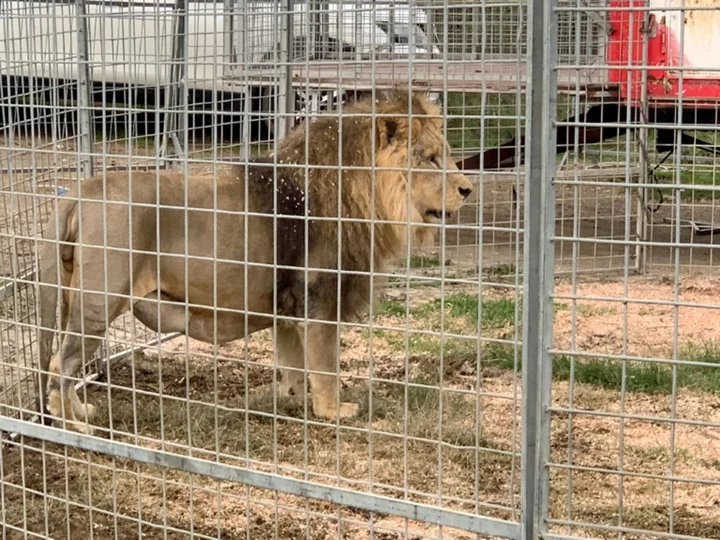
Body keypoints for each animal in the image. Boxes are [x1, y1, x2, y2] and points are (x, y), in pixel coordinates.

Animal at [36, 89, 474, 433]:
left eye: (448, 155)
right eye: (431, 159)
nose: (468, 189)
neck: (361, 193)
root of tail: (81, 191)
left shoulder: (288, 307)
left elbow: (294, 362)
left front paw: (293, 400)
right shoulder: (319, 298)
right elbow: (326, 365)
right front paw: (333, 412)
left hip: (76, 297)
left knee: (65, 365)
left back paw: (81, 412)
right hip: (99, 302)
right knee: (61, 363)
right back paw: (73, 428)